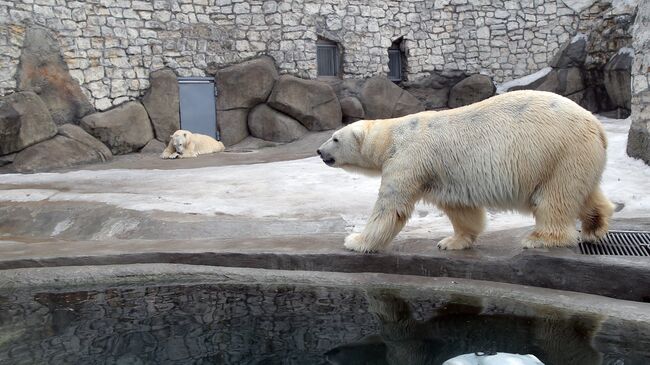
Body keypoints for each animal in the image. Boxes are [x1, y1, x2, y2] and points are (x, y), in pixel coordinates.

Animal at [318, 89, 612, 252]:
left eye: (335, 138)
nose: (320, 152)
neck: (393, 136)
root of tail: (597, 126)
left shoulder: (408, 159)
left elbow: (391, 207)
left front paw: (355, 240)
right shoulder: (443, 174)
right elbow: (460, 208)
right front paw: (451, 241)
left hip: (558, 153)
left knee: (554, 198)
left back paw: (539, 238)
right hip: (577, 157)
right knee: (585, 192)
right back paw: (594, 227)